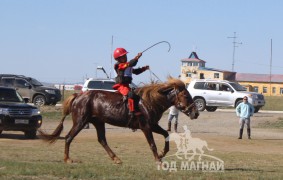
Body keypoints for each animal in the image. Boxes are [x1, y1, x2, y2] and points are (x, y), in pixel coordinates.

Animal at [38, 77, 200, 165]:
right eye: (186, 95)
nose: (196, 113)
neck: (149, 101)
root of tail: (78, 96)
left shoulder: (153, 125)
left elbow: (166, 135)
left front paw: (161, 154)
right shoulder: (146, 126)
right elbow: (152, 144)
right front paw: (158, 159)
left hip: (98, 122)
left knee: (102, 140)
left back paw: (116, 158)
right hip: (80, 122)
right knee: (68, 137)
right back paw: (67, 159)